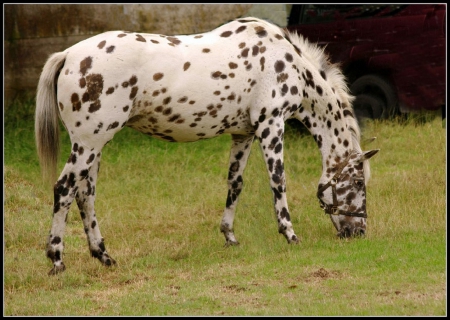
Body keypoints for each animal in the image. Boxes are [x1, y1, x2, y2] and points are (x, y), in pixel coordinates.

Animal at [36, 16, 380, 276]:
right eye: (357, 182)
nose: (359, 233)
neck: (286, 60)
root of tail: (68, 55)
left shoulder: (244, 134)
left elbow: (235, 183)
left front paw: (229, 236)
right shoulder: (271, 126)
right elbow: (278, 182)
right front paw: (290, 235)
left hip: (95, 146)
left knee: (85, 195)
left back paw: (104, 256)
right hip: (88, 144)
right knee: (65, 189)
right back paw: (57, 260)